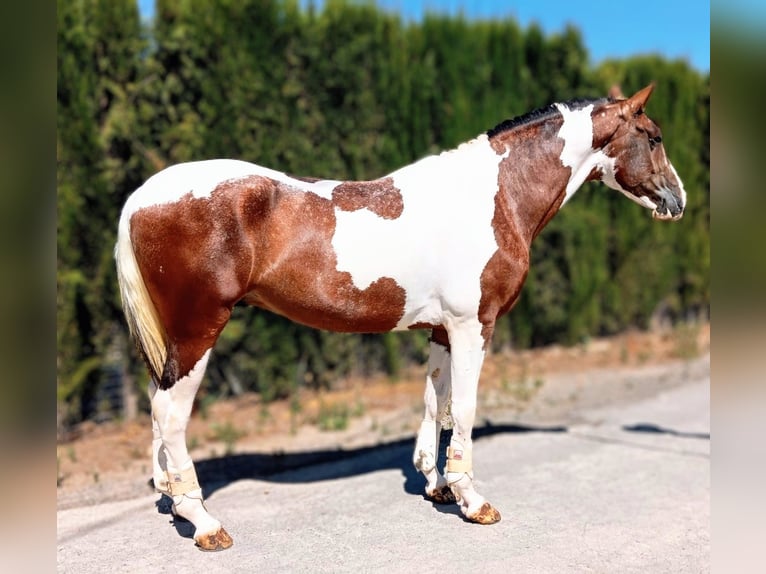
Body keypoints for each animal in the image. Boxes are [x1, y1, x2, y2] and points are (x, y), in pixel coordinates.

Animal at [114, 84, 685, 550]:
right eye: (654, 136)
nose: (677, 200)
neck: (493, 198)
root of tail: (141, 196)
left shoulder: (441, 330)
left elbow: (438, 402)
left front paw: (436, 486)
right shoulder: (473, 326)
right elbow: (466, 409)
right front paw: (473, 501)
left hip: (175, 337)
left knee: (156, 402)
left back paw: (172, 498)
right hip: (198, 328)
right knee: (170, 412)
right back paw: (204, 523)